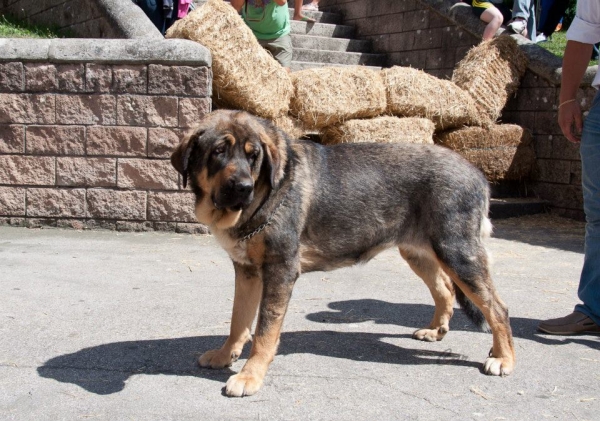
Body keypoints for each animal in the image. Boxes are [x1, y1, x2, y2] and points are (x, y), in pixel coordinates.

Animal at [170, 109, 516, 398]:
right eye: (218, 152)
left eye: (253, 156)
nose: (243, 187)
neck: (264, 196)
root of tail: (478, 173)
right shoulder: (247, 271)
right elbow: (238, 320)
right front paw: (224, 355)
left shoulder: (279, 271)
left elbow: (264, 332)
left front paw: (249, 376)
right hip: (419, 252)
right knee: (444, 289)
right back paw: (436, 330)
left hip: (458, 253)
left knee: (497, 308)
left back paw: (503, 358)